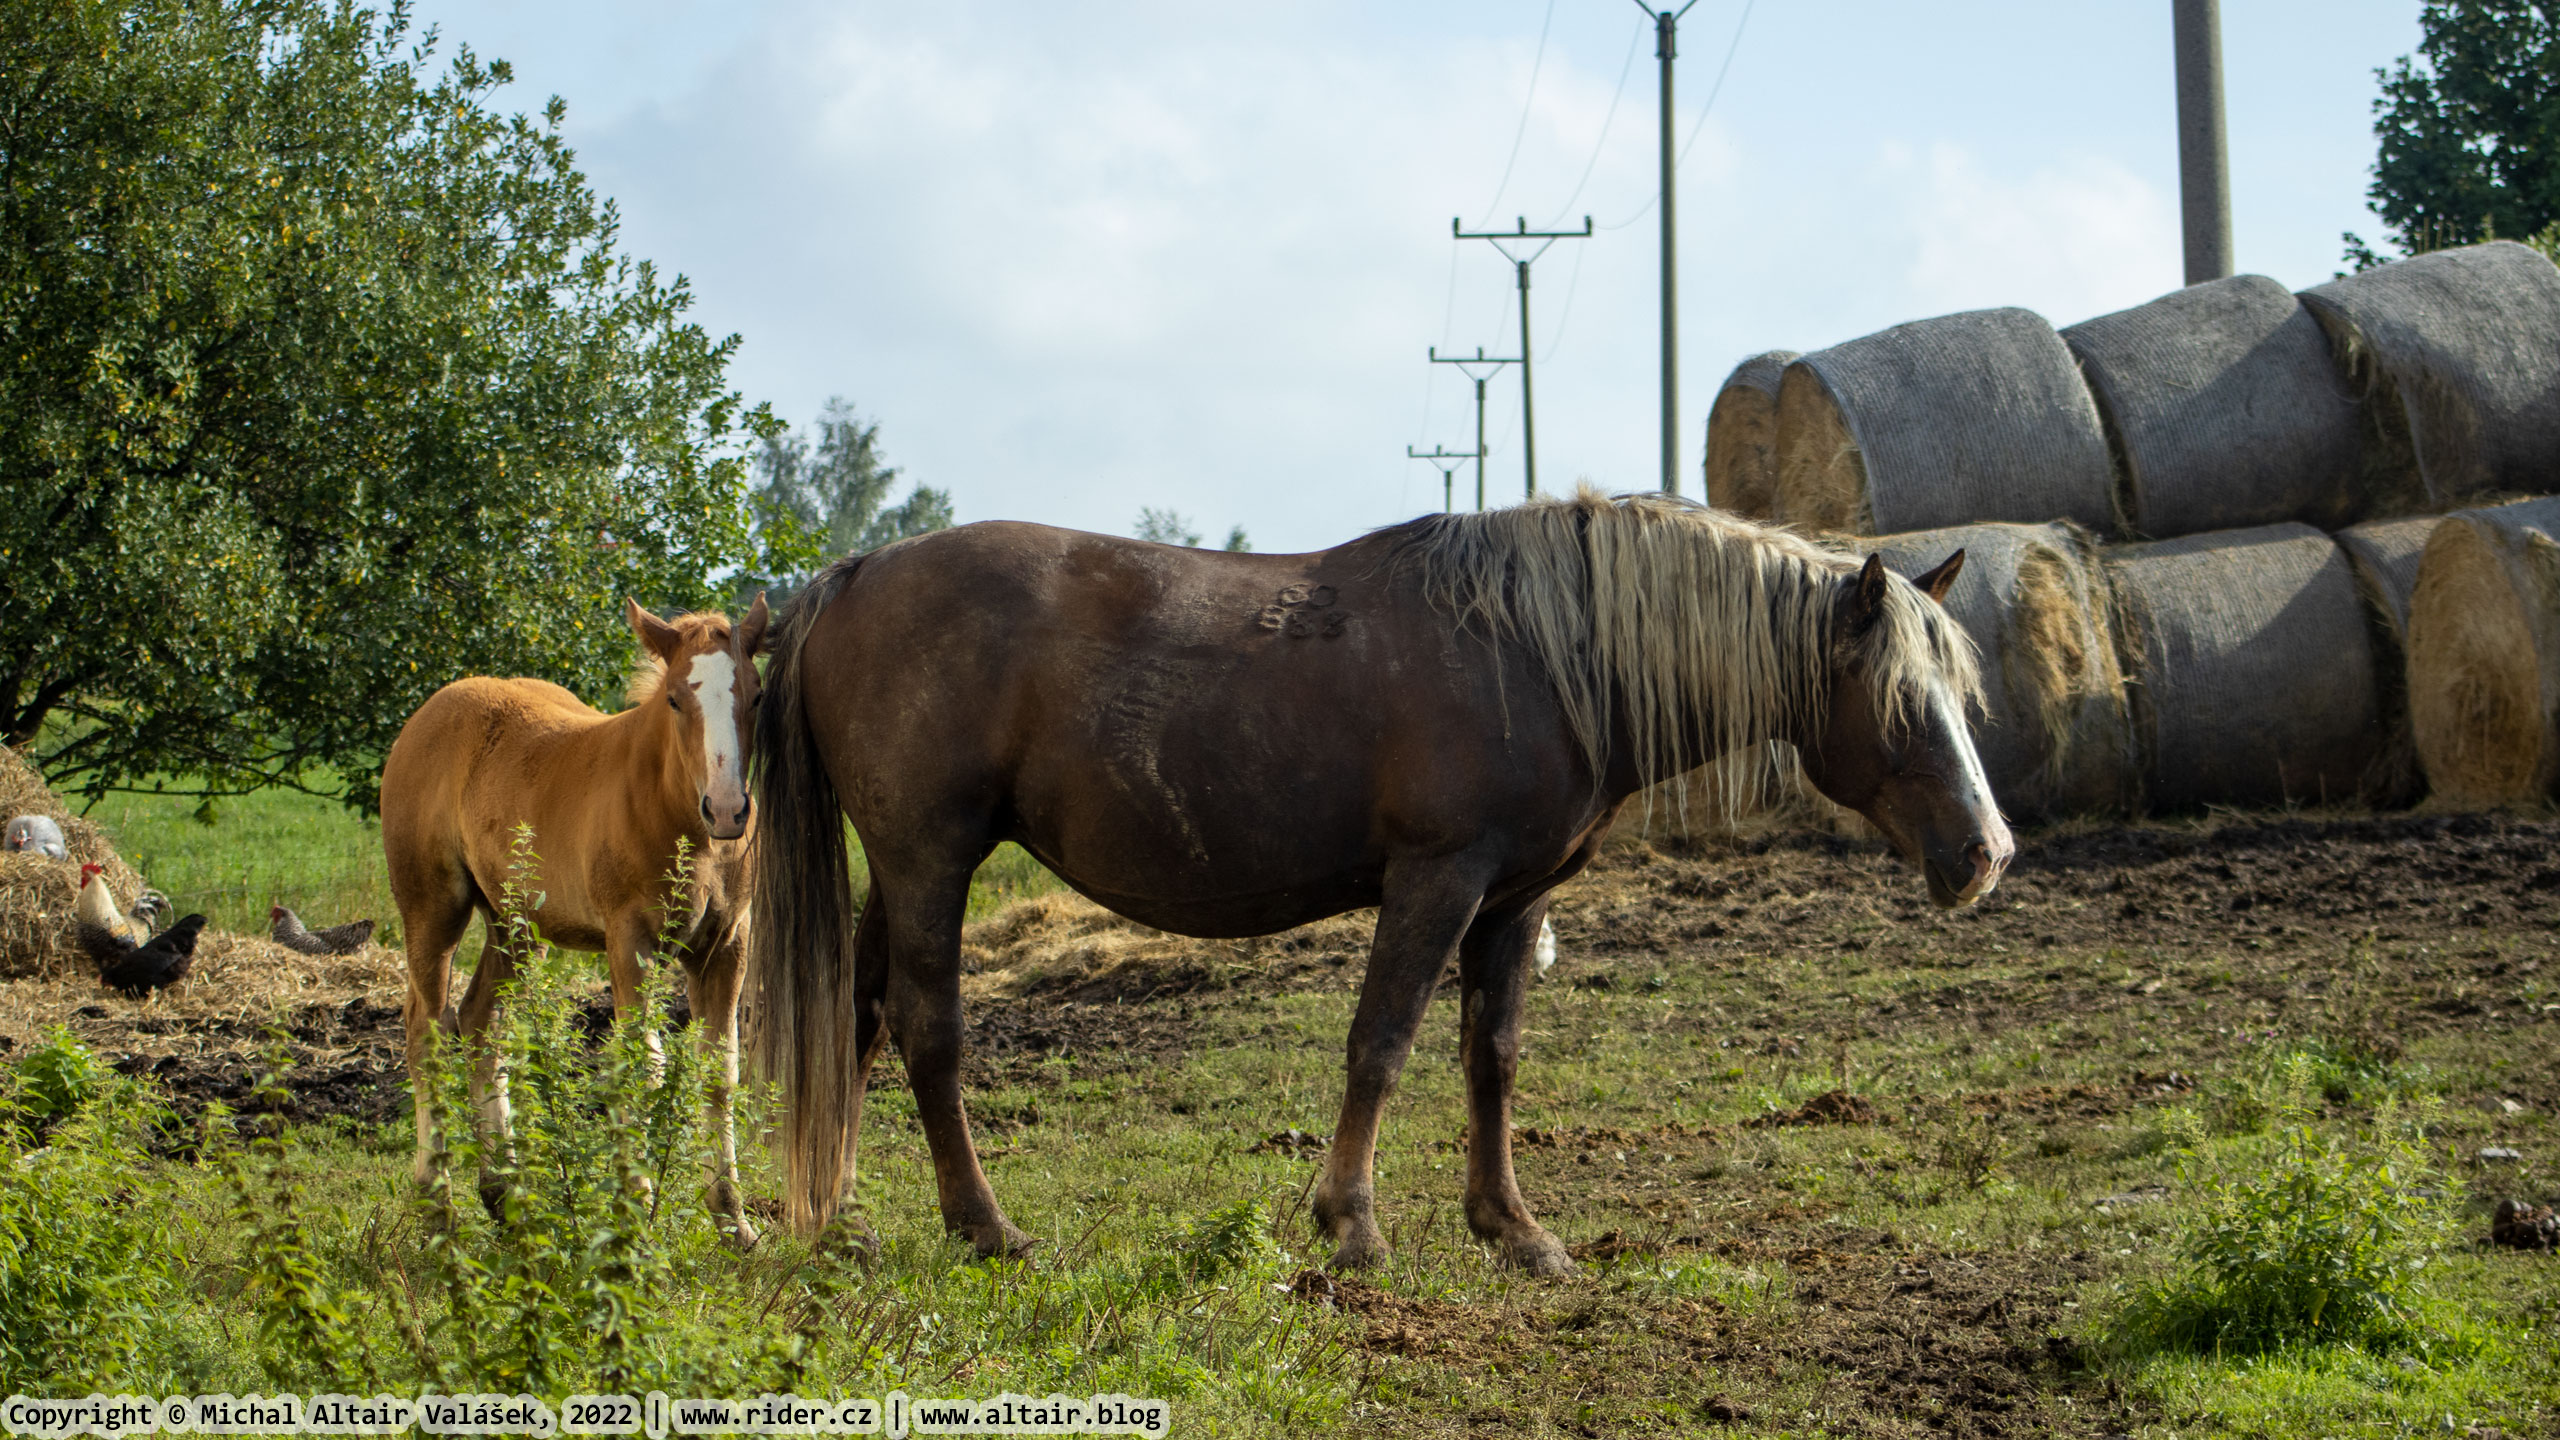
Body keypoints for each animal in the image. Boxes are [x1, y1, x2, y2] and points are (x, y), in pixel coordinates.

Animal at [747, 489, 2007, 1265]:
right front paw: (1349, 1223)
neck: (1542, 651)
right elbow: (1383, 1044)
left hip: (898, 868)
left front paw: (1512, 1229)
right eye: (1901, 700)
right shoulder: (1436, 879)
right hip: (930, 858)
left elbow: (1490, 1058)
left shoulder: (1512, 903)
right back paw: (984, 1227)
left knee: (856, 1020)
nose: (1985, 854)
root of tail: (849, 576)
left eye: (1963, 692)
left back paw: (839, 1219)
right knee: (927, 1031)